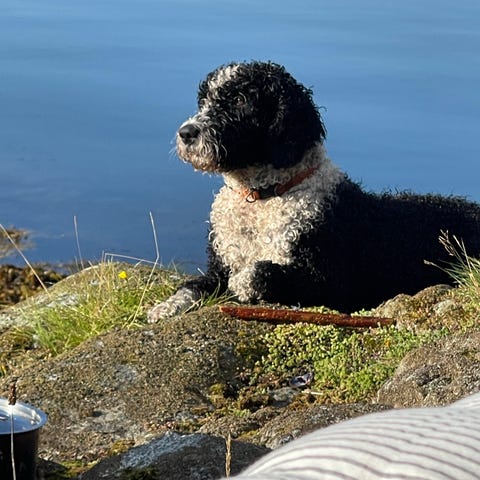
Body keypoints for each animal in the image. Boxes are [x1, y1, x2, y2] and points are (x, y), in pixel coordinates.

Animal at [148, 61, 480, 321]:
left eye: (240, 99)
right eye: (203, 100)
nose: (186, 133)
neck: (264, 196)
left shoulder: (330, 281)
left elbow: (259, 272)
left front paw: (243, 282)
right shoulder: (218, 267)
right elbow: (192, 286)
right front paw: (165, 307)